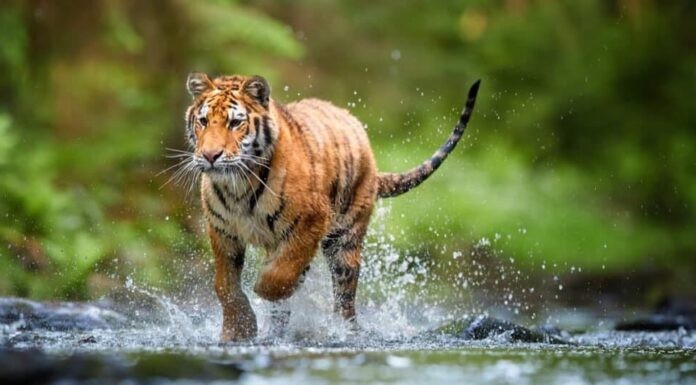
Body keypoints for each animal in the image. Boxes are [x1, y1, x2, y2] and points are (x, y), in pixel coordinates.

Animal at [181, 72, 478, 340]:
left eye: (235, 123)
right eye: (203, 121)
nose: (210, 155)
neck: (238, 187)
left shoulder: (311, 221)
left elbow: (280, 275)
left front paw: (262, 287)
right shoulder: (222, 231)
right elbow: (224, 285)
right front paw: (237, 331)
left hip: (345, 241)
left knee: (344, 299)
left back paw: (344, 331)